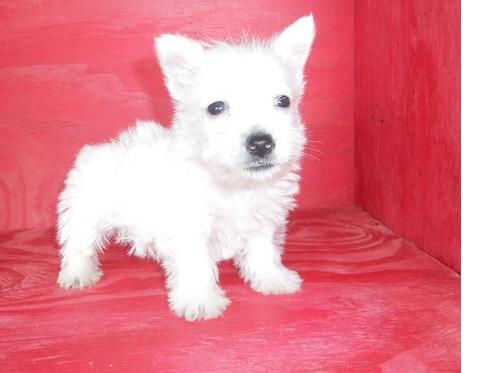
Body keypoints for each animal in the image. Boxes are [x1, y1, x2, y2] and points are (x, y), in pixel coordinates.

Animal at [57, 14, 316, 320]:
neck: (234, 184)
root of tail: (97, 149)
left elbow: (263, 251)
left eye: (283, 101)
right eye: (216, 107)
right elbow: (196, 265)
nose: (261, 143)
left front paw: (272, 279)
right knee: (78, 242)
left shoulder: (263, 220)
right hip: (85, 210)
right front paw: (200, 301)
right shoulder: (189, 227)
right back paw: (78, 273)